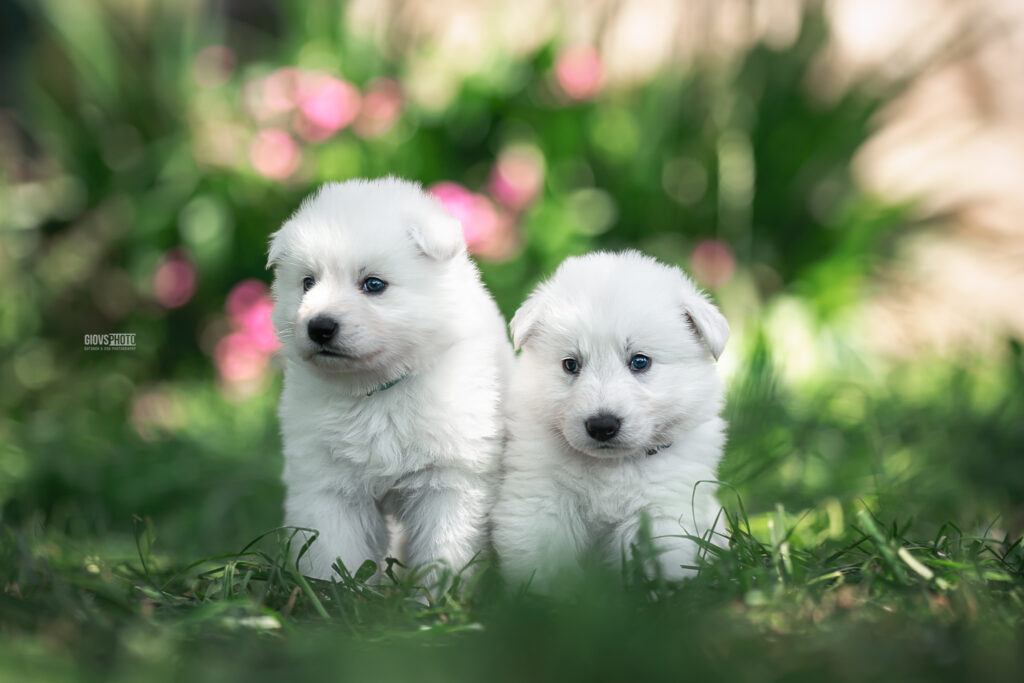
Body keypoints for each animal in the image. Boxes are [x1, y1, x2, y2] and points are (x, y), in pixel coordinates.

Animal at [268, 178, 512, 589]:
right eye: (307, 283)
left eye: (373, 284)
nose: (319, 327)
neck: (377, 392)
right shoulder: (328, 484)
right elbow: (335, 551)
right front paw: (334, 596)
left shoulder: (450, 481)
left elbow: (443, 552)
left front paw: (435, 600)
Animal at [493, 250, 729, 593]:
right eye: (570, 364)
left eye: (640, 362)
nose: (602, 426)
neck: (611, 466)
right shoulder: (539, 500)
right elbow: (545, 564)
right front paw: (542, 600)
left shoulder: (663, 509)